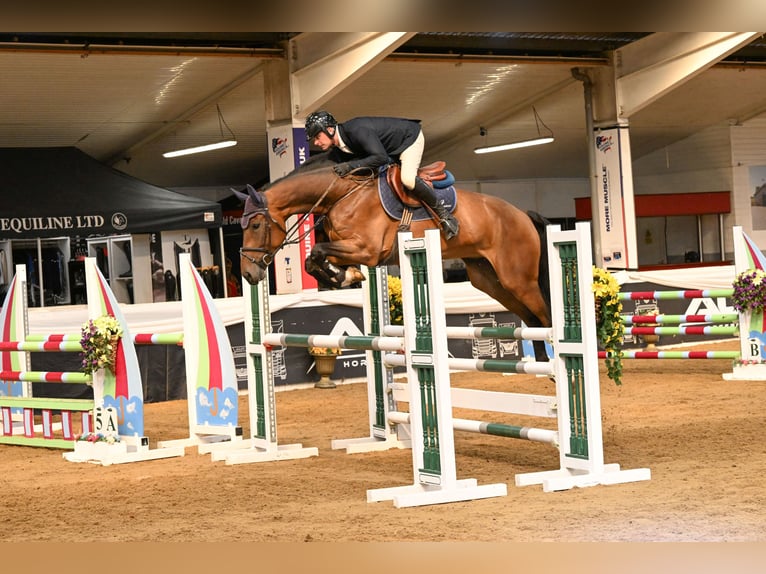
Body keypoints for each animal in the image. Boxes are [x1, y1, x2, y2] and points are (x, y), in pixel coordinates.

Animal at [237, 155, 556, 362]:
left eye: (255, 226)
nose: (249, 274)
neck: (341, 194)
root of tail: (522, 214)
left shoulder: (367, 249)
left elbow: (316, 252)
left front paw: (345, 275)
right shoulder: (350, 248)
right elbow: (312, 261)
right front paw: (346, 276)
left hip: (518, 279)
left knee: (545, 316)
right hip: (490, 280)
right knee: (532, 320)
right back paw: (544, 365)